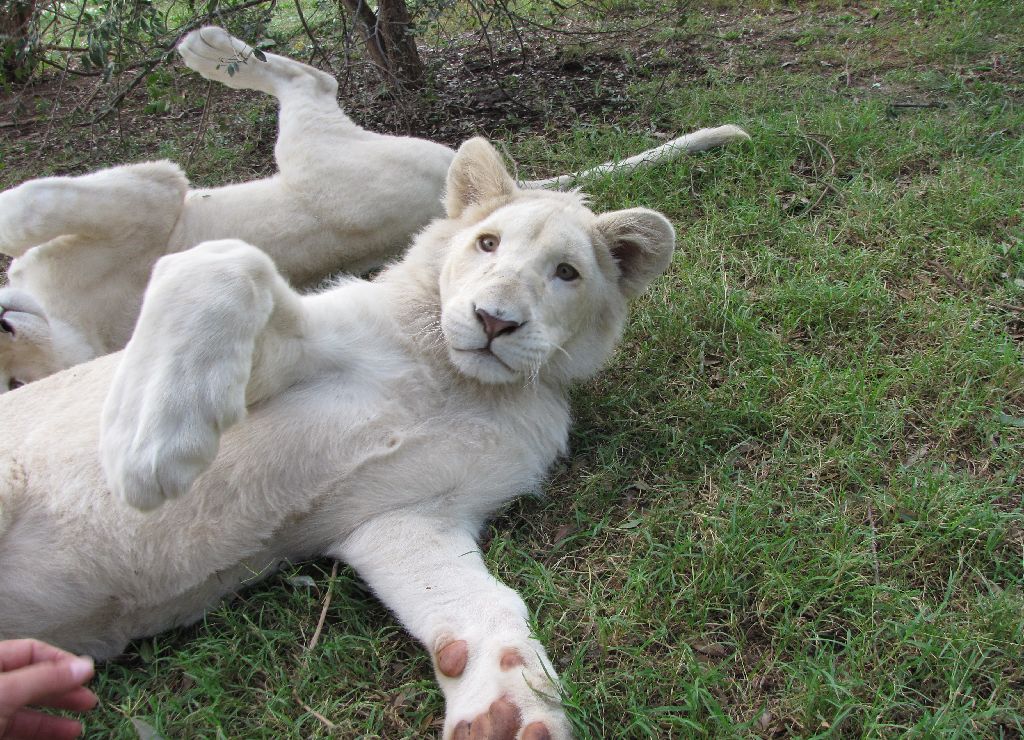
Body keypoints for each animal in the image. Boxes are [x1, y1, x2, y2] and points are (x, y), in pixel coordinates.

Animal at [0, 26, 748, 393]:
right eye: (11, 383)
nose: (5, 323)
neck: (64, 322)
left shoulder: (155, 193)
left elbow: (35, 198)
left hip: (317, 154)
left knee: (311, 78)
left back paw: (209, 48)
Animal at [0, 137, 678, 739]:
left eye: (566, 273)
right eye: (487, 243)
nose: (494, 321)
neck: (452, 379)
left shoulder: (409, 516)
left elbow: (485, 604)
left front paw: (509, 716)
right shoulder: (275, 356)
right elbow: (226, 260)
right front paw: (150, 450)